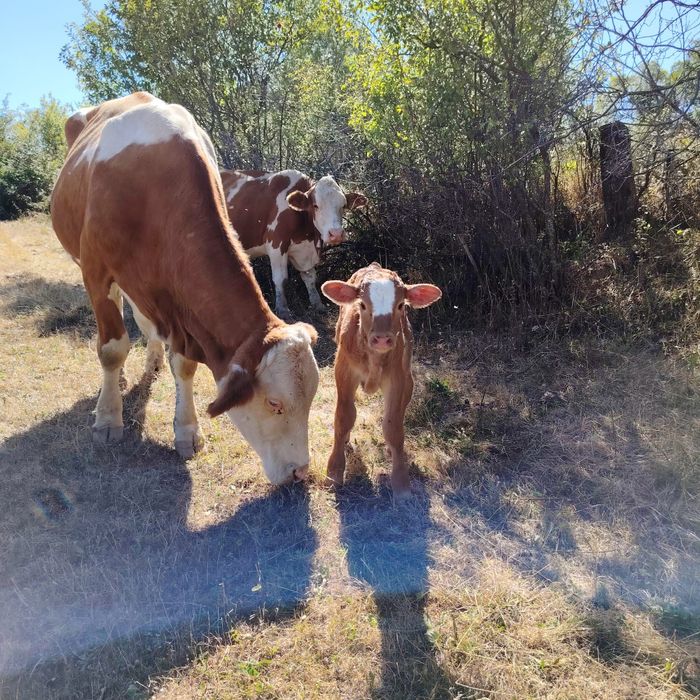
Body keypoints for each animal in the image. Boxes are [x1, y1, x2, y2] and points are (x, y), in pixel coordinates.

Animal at [51, 92, 320, 486]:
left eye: (312, 398)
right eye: (274, 403)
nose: (300, 472)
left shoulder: (179, 305)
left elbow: (185, 365)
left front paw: (187, 431)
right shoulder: (97, 272)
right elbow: (112, 349)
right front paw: (107, 420)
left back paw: (152, 360)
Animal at [220, 169, 367, 318]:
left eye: (343, 206)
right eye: (316, 205)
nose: (336, 234)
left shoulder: (305, 250)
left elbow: (309, 277)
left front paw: (317, 304)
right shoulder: (276, 245)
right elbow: (280, 278)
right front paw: (282, 308)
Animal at [321, 263, 442, 499]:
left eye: (401, 305)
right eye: (362, 304)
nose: (382, 339)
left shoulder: (398, 378)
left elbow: (393, 427)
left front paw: (401, 483)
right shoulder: (344, 371)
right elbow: (344, 418)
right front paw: (334, 472)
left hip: (409, 379)